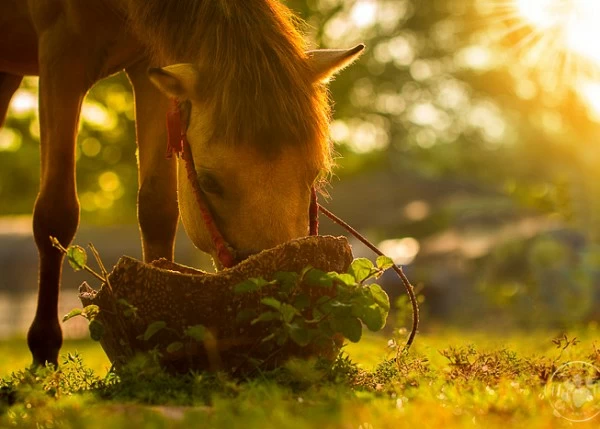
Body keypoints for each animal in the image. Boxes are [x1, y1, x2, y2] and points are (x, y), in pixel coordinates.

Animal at [0, 0, 364, 366]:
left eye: (313, 175)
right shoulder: (61, 58)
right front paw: (44, 350)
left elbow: (156, 207)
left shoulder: (150, 68)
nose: (282, 298)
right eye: (208, 182)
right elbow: (55, 214)